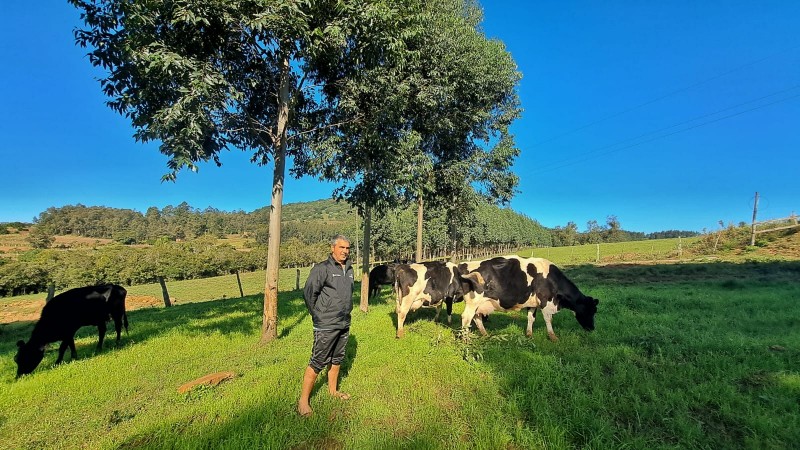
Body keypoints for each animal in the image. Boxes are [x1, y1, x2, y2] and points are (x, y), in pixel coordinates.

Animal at [460, 256, 596, 342]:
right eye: (591, 311)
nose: (592, 329)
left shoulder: (533, 303)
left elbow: (531, 318)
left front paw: (529, 334)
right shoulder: (545, 301)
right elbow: (548, 320)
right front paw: (553, 337)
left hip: (479, 304)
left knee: (476, 317)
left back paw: (485, 334)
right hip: (473, 302)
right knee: (466, 318)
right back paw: (465, 340)